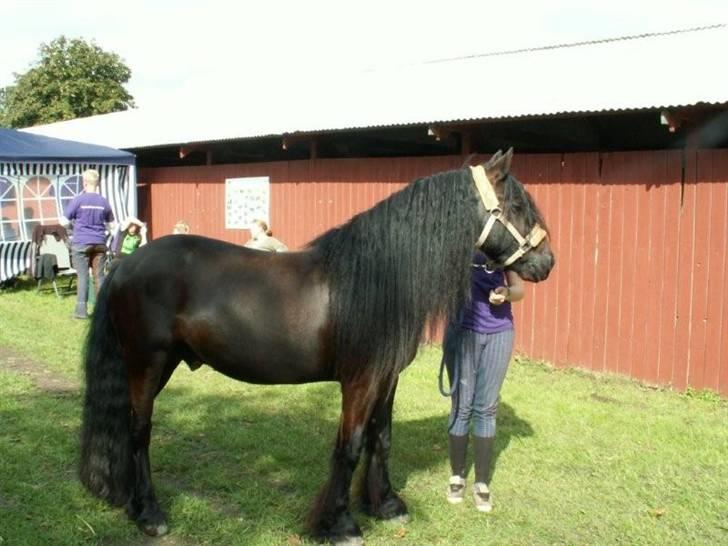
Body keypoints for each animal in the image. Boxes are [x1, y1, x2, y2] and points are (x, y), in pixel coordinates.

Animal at [79, 148, 554, 544]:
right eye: (516, 207)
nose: (546, 263)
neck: (378, 278)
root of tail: (125, 265)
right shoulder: (360, 382)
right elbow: (350, 445)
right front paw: (341, 523)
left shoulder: (386, 379)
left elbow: (381, 439)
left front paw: (386, 505)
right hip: (148, 363)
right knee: (139, 431)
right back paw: (150, 514)